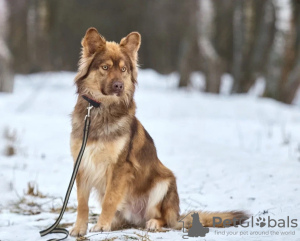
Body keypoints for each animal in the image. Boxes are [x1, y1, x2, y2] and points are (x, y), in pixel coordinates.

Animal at [69, 27, 248, 236]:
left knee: (165, 219)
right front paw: (79, 228)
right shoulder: (82, 163)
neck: (100, 109)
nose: (119, 86)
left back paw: (153, 222)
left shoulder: (119, 166)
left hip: (164, 183)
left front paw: (102, 225)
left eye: (123, 69)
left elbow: (110, 199)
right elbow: (82, 203)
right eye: (105, 67)